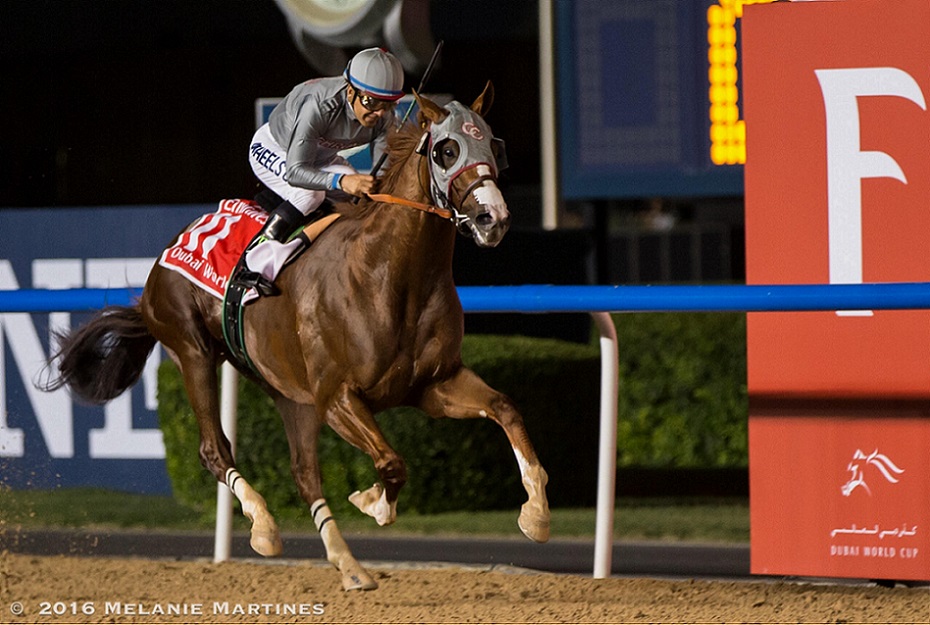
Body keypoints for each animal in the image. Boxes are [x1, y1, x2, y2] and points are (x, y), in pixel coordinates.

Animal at [42, 84, 551, 591]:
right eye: (447, 150)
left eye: (494, 146)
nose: (492, 218)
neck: (389, 273)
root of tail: (164, 259)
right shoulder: (337, 397)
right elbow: (392, 462)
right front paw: (374, 502)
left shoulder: (433, 385)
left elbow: (506, 408)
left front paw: (536, 514)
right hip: (193, 349)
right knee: (214, 449)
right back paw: (264, 527)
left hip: (289, 393)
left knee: (304, 474)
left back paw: (350, 567)